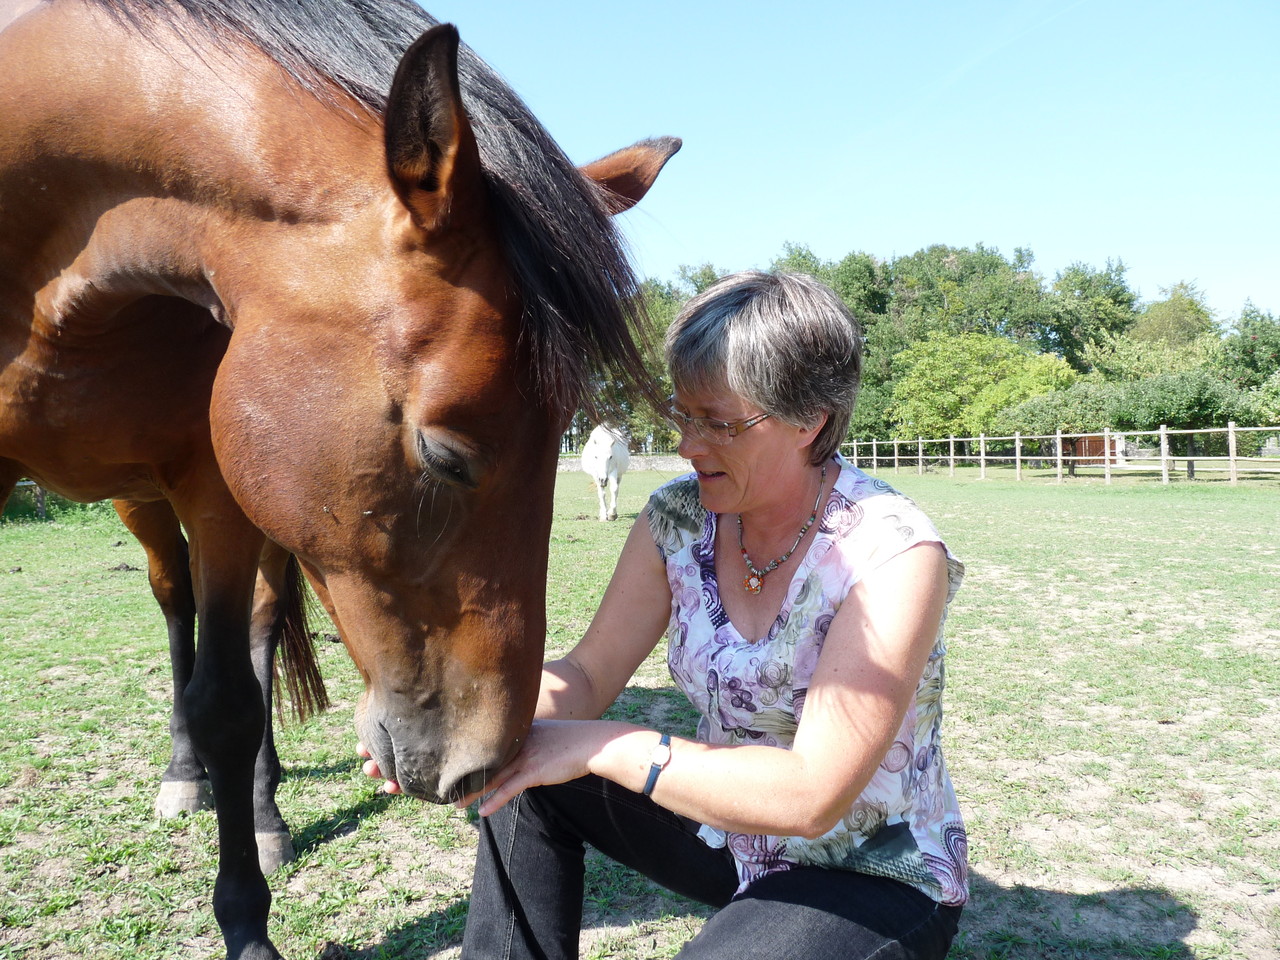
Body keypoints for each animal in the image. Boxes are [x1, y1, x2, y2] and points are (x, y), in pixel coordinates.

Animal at [0, 1, 680, 957]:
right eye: (446, 456)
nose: (487, 763)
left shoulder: (219, 486)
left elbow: (233, 701)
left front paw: (248, 911)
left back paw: (262, 806)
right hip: (144, 501)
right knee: (174, 609)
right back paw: (185, 775)